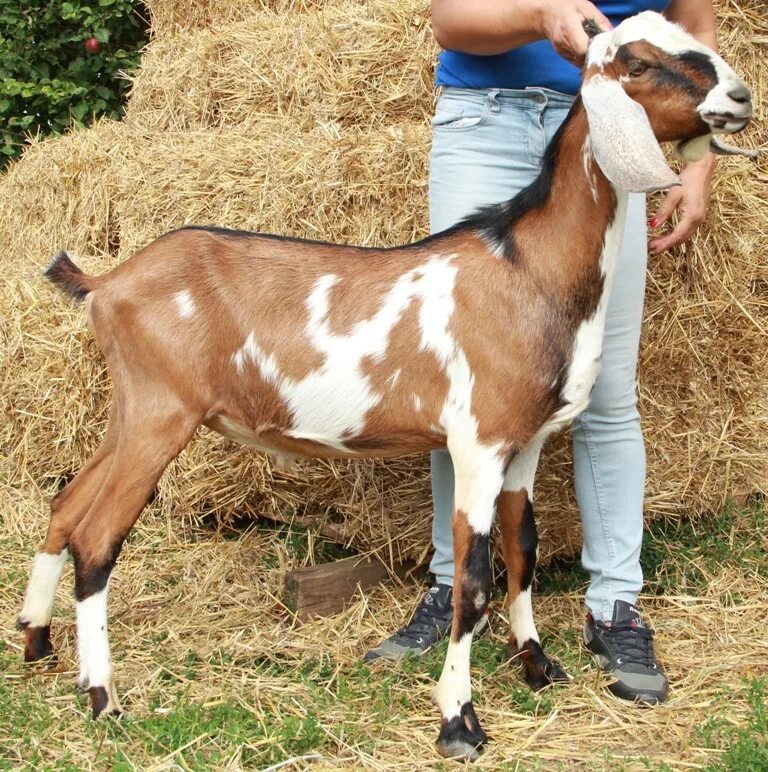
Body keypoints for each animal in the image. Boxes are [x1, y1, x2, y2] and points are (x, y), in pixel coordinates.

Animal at [16, 9, 752, 764]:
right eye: (637, 62)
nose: (742, 96)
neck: (528, 268)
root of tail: (108, 282)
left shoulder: (526, 440)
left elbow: (522, 551)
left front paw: (538, 665)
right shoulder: (479, 441)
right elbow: (472, 583)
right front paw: (459, 721)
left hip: (132, 409)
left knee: (66, 504)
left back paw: (38, 641)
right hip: (161, 413)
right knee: (97, 538)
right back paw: (103, 697)